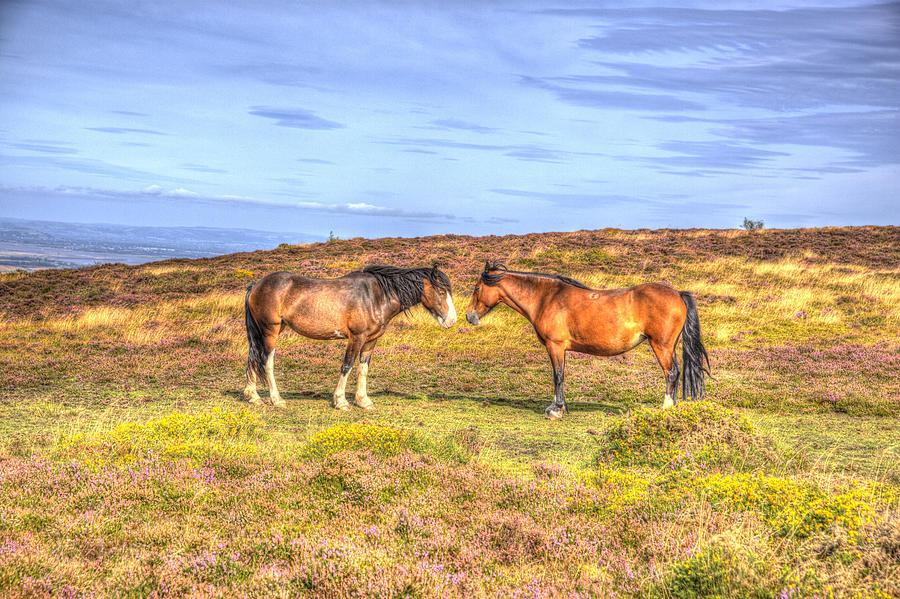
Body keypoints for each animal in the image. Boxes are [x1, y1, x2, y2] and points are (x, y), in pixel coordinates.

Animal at [244, 266, 458, 410]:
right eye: (441, 291)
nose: (452, 321)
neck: (376, 296)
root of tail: (256, 285)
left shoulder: (370, 340)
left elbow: (363, 369)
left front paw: (363, 400)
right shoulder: (356, 338)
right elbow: (347, 366)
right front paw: (340, 401)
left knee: (253, 358)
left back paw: (253, 396)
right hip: (270, 332)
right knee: (266, 362)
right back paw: (276, 399)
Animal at [464, 262, 712, 422]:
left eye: (477, 288)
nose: (469, 316)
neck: (547, 298)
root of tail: (677, 294)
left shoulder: (555, 346)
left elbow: (558, 376)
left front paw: (555, 410)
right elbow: (561, 376)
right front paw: (560, 407)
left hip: (661, 346)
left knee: (672, 373)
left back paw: (666, 407)